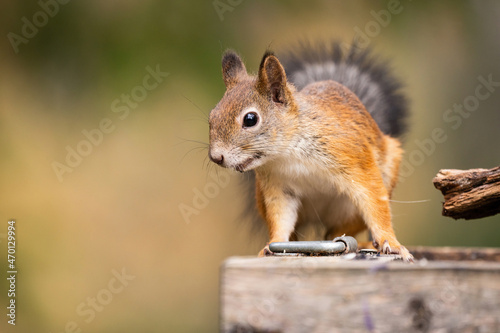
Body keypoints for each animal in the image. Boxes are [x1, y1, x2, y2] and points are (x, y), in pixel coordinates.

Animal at [209, 41, 412, 260]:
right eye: (212, 116)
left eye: (250, 119)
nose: (216, 157)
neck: (288, 152)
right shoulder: (278, 187)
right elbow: (280, 218)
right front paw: (271, 245)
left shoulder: (355, 160)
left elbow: (375, 204)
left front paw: (391, 243)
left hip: (354, 208)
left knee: (336, 233)